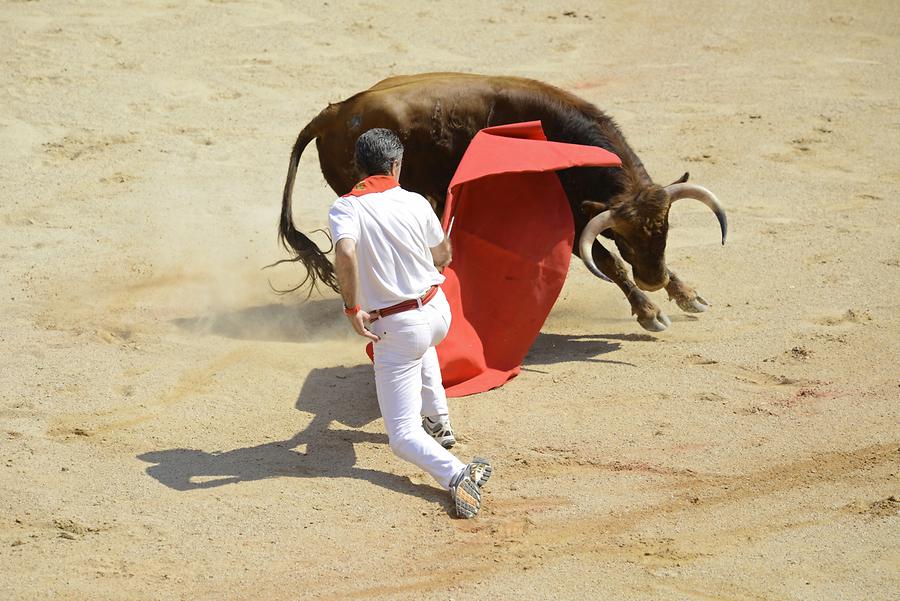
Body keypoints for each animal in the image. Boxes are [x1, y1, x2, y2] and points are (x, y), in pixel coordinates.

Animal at [278, 73, 728, 332]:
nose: (652, 279)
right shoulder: (573, 221)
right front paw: (649, 312)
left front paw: (687, 294)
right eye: (624, 237)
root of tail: (334, 113)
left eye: (665, 229)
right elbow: (610, 264)